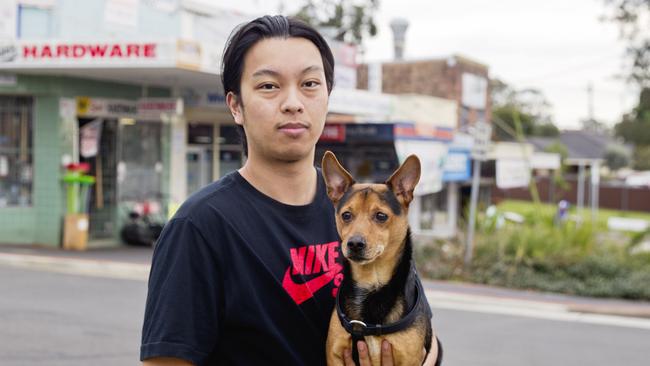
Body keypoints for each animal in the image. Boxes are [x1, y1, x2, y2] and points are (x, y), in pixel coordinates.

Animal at [320, 150, 440, 364]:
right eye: (346, 215)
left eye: (381, 216)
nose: (354, 244)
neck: (371, 283)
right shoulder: (334, 354)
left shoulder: (410, 358)